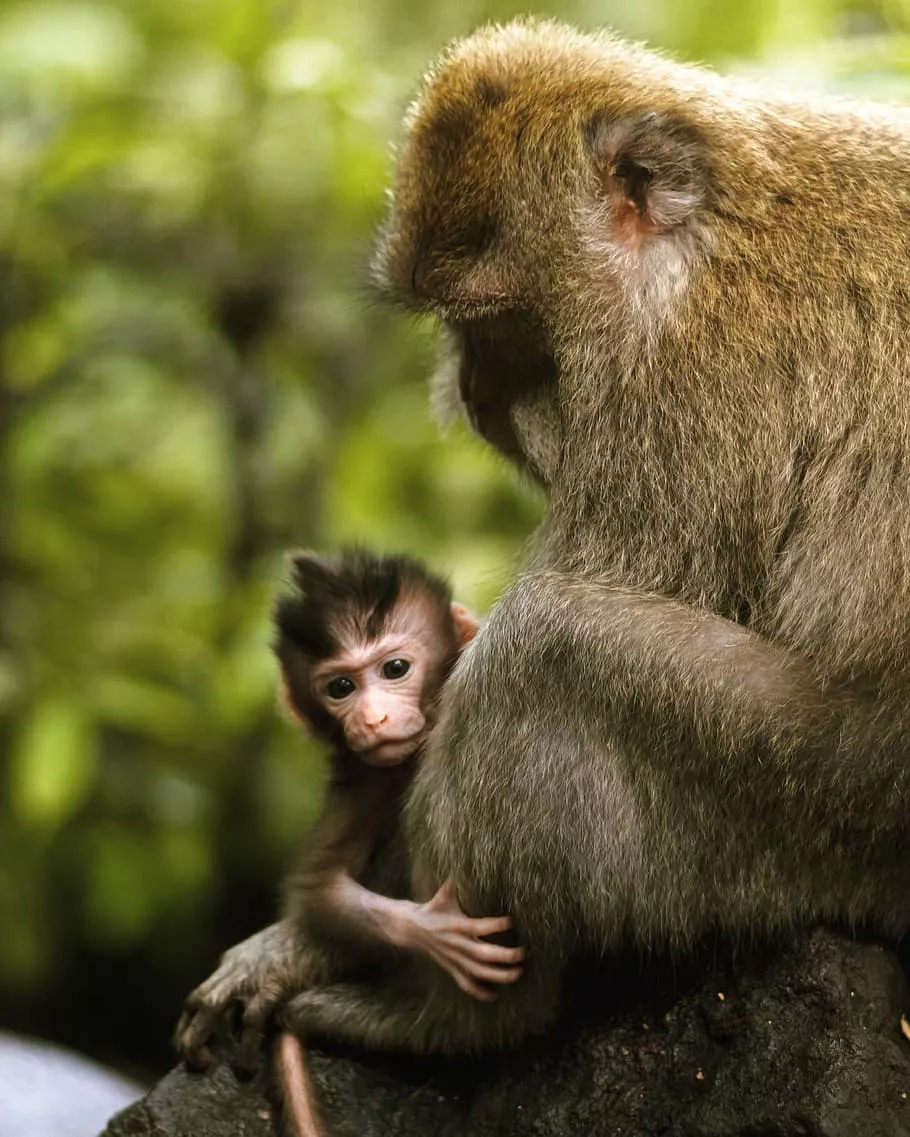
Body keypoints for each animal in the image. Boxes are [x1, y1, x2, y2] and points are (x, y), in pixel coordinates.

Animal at [176, 17, 910, 1066]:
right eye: (451, 325)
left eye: (497, 317)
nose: (475, 396)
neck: (708, 231)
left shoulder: (682, 393)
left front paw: (304, 942)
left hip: (819, 802)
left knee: (548, 650)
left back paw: (455, 1018)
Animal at [176, 549, 522, 1132]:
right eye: (340, 688)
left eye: (395, 669)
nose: (374, 717)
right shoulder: (362, 779)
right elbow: (320, 887)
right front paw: (437, 933)